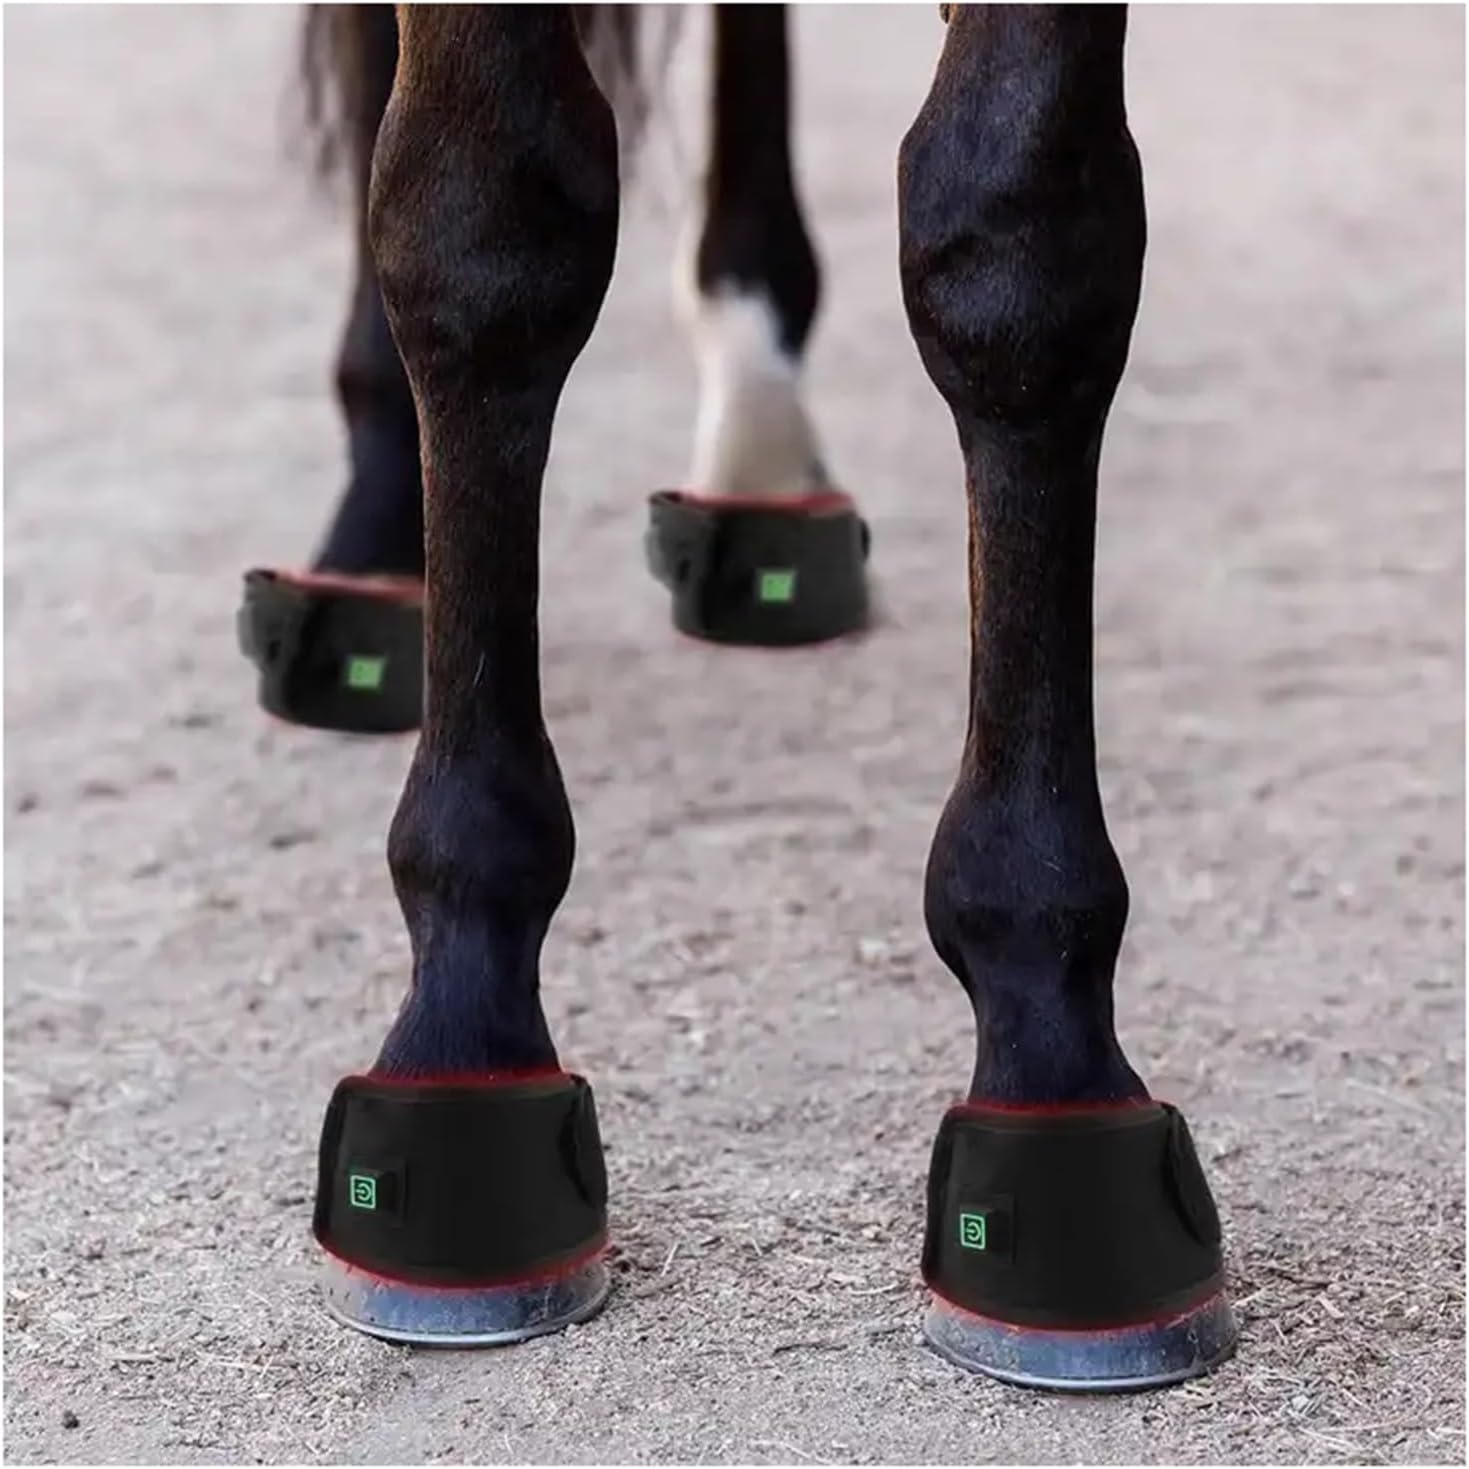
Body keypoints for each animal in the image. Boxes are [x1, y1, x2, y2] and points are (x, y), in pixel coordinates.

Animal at [250, 4, 1237, 1391]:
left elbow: (1021, 237)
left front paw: (1049, 1041)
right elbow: (480, 218)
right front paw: (462, 1022)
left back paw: (762, 456)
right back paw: (372, 539)